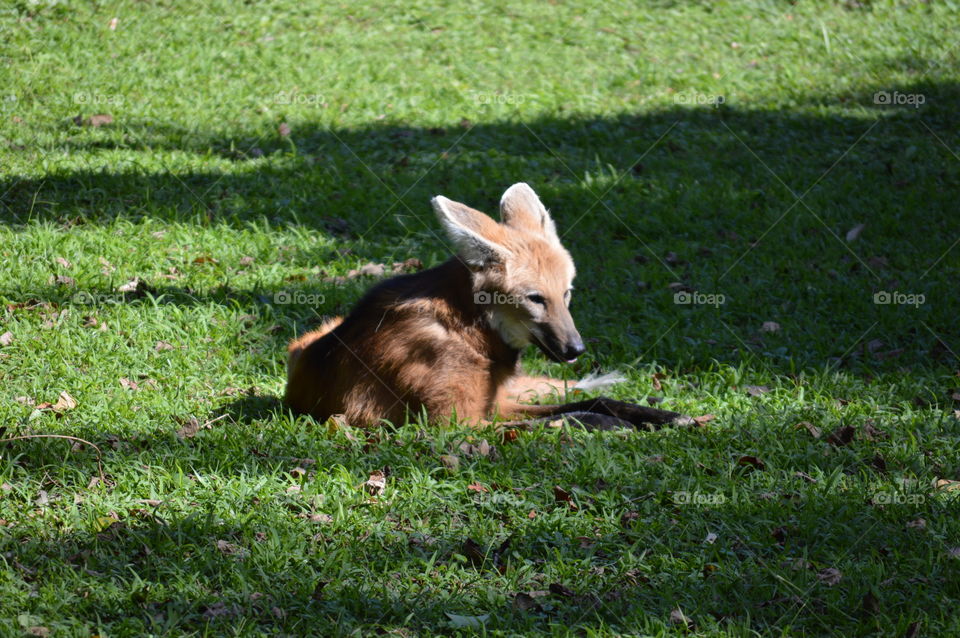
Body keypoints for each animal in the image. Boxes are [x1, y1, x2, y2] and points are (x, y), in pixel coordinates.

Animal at [284, 183, 691, 429]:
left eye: (566, 294)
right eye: (535, 299)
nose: (576, 349)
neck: (469, 330)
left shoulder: (492, 404)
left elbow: (595, 401)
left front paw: (665, 415)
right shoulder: (457, 422)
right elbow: (555, 419)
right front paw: (615, 425)